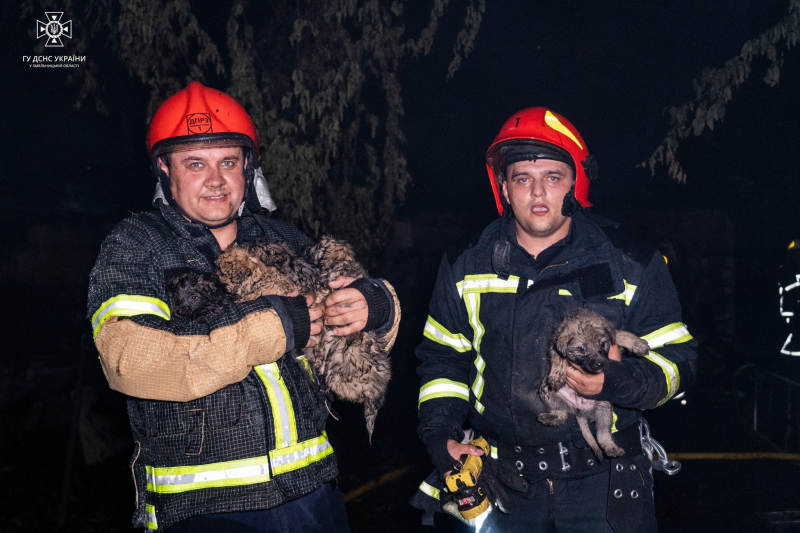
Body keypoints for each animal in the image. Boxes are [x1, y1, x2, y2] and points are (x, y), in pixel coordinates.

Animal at [536, 308, 648, 458]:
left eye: (602, 344)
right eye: (582, 348)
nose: (600, 364)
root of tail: (579, 410)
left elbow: (620, 334)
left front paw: (637, 344)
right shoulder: (554, 346)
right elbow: (558, 357)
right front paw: (558, 374)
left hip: (604, 409)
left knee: (603, 434)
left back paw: (611, 447)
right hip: (547, 392)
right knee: (561, 414)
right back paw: (551, 417)